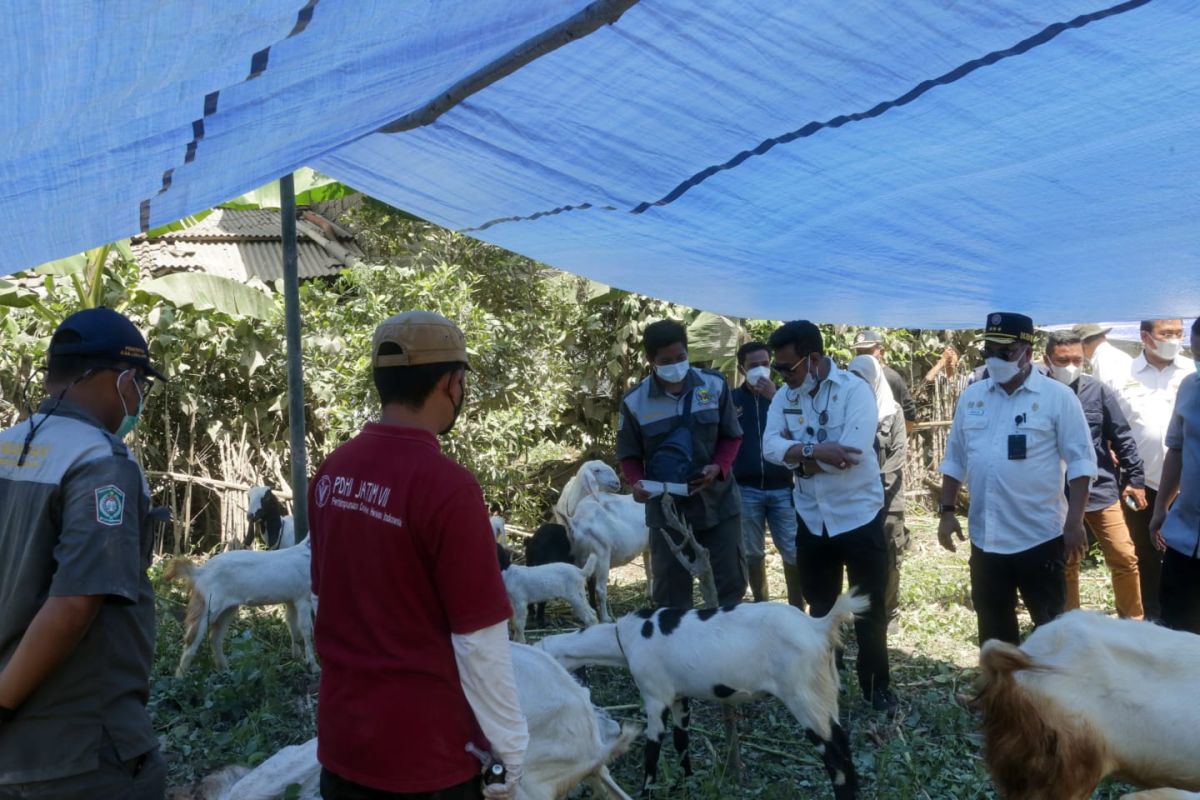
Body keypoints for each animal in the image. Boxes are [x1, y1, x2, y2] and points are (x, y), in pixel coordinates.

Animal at [162, 537, 316, 676]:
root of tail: (199, 572)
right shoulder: (304, 598)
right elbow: (306, 629)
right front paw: (313, 665)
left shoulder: (292, 599)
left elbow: (293, 627)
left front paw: (297, 659)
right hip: (209, 605)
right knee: (192, 638)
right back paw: (180, 678)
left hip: (228, 609)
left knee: (215, 637)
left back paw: (225, 670)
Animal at [540, 592, 868, 796]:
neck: (626, 638)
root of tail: (819, 627)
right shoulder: (679, 697)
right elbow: (681, 740)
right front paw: (686, 783)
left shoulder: (655, 696)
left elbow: (652, 750)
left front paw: (647, 792)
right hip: (825, 694)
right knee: (845, 751)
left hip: (805, 699)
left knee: (835, 759)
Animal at [554, 460, 652, 623]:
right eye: (597, 470)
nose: (617, 483)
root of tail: (576, 523)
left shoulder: (647, 548)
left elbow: (649, 571)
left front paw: (649, 594)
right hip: (602, 555)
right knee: (600, 589)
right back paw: (606, 618)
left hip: (580, 558)